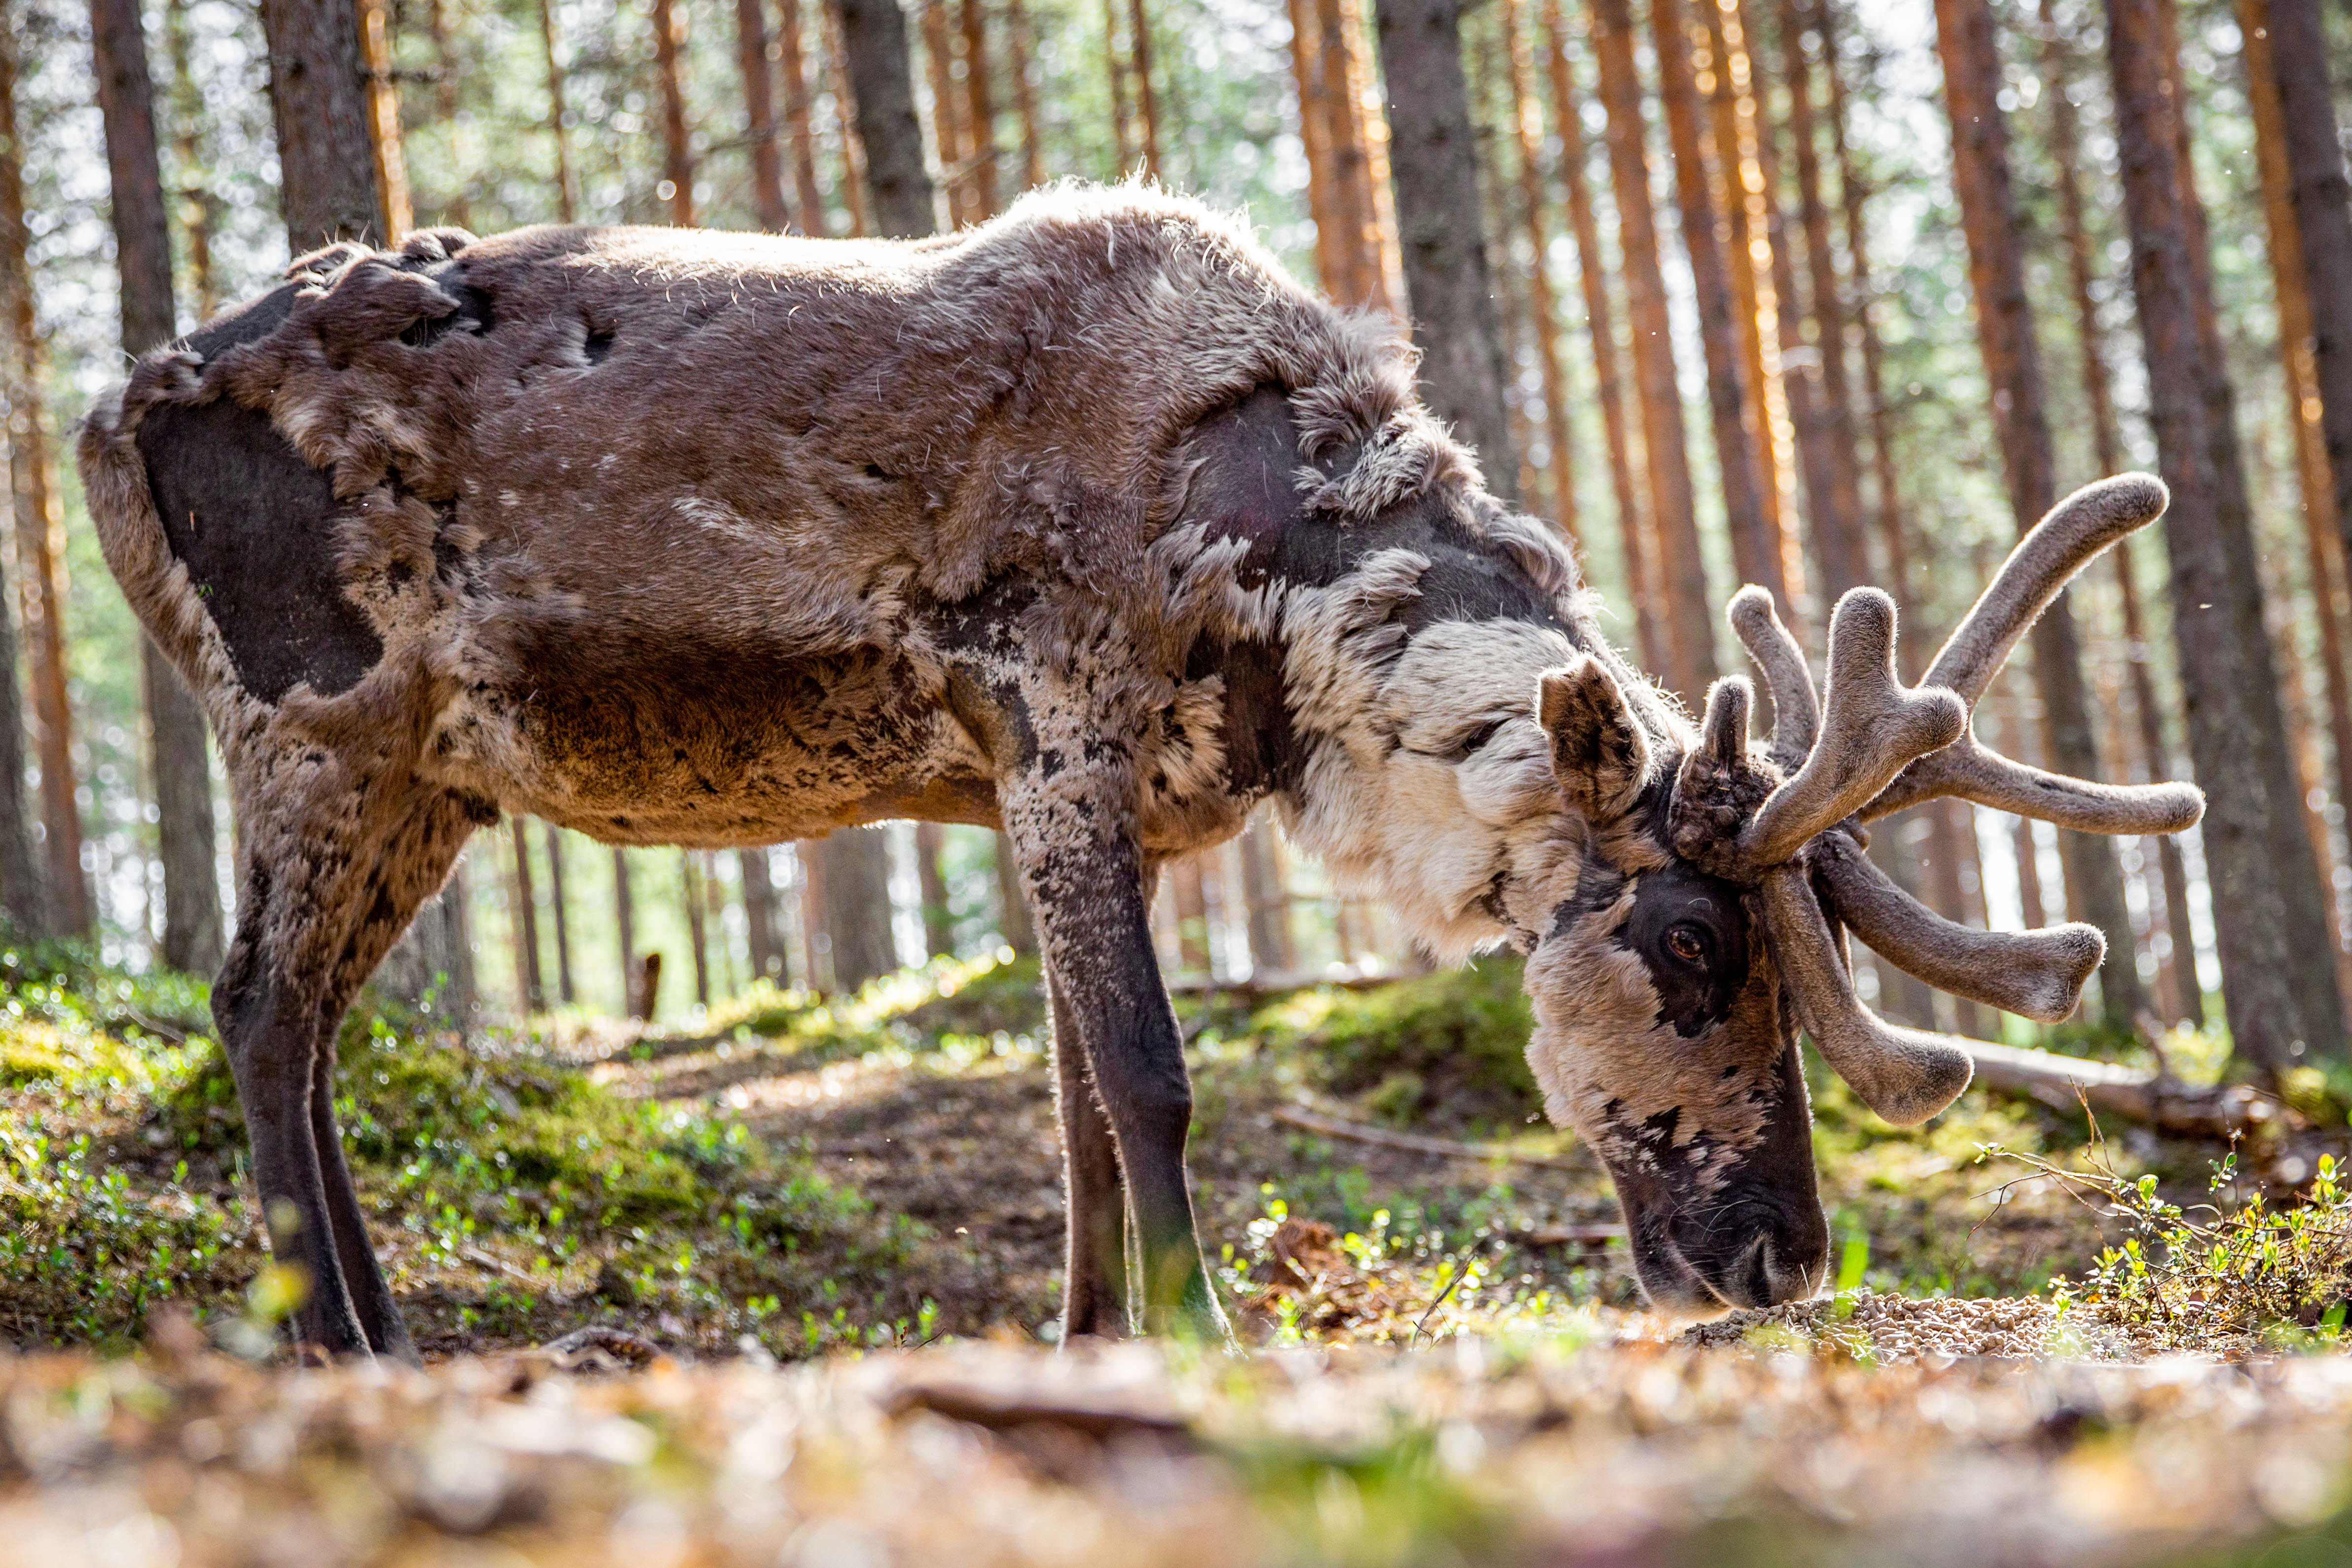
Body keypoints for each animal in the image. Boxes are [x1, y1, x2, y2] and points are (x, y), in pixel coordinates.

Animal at [77, 183, 2202, 1360]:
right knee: (255, 1007)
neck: (1279, 597)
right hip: (317, 720)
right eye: (1688, 940)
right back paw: (332, 1340)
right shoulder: (1061, 735)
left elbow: (1076, 1097)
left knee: (311, 1028)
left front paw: (1097, 1325)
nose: (1779, 1254)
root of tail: (101, 407)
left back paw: (384, 1319)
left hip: (429, 776)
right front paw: (1203, 1325)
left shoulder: (1073, 799)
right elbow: (1153, 1077)